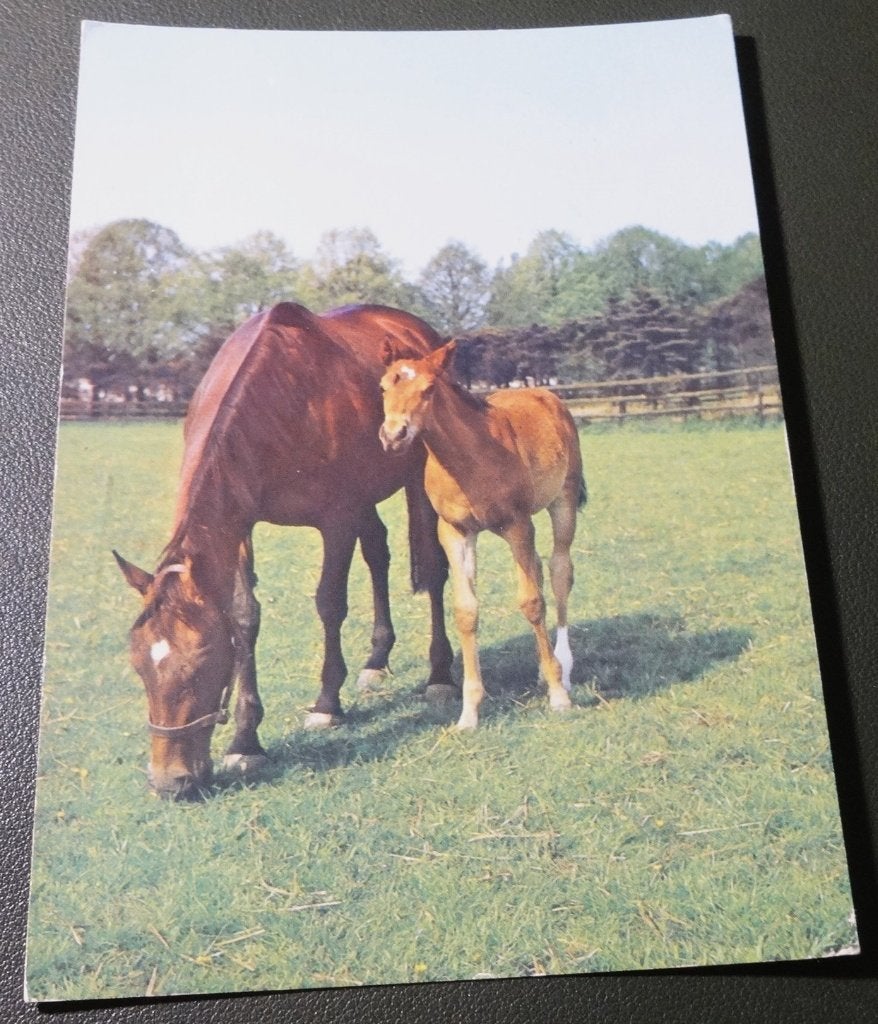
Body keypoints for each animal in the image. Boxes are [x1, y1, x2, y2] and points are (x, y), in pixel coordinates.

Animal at [114, 302, 455, 799]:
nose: (168, 782)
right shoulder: (239, 524)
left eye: (201, 666)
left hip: (417, 481)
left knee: (433, 568)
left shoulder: (336, 519)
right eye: (139, 666)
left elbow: (330, 603)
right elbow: (243, 617)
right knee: (378, 552)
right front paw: (245, 740)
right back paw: (376, 661)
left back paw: (439, 675)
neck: (280, 400)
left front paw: (327, 704)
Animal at [379, 339, 586, 731]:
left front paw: (558, 696)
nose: (393, 435)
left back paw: (563, 668)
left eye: (428, 389)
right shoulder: (455, 532)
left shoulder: (518, 525)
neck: (470, 457)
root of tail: (544, 394)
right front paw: (469, 712)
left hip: (563, 502)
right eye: (383, 387)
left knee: (559, 573)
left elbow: (532, 602)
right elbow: (466, 611)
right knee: (539, 568)